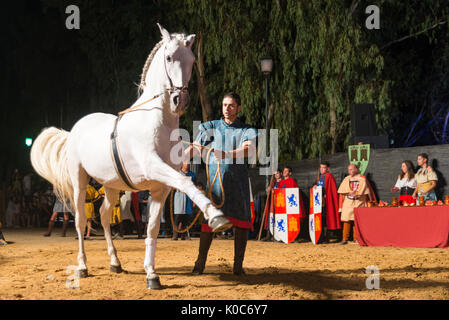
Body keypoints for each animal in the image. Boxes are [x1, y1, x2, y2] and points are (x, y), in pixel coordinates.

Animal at [30, 24, 231, 290]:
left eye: (192, 60)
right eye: (169, 57)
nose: (180, 100)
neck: (156, 122)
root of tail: (73, 131)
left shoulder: (159, 188)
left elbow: (153, 228)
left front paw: (152, 275)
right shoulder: (154, 167)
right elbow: (186, 182)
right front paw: (216, 216)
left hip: (111, 186)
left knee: (105, 216)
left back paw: (115, 262)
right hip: (79, 182)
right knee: (81, 221)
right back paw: (83, 267)